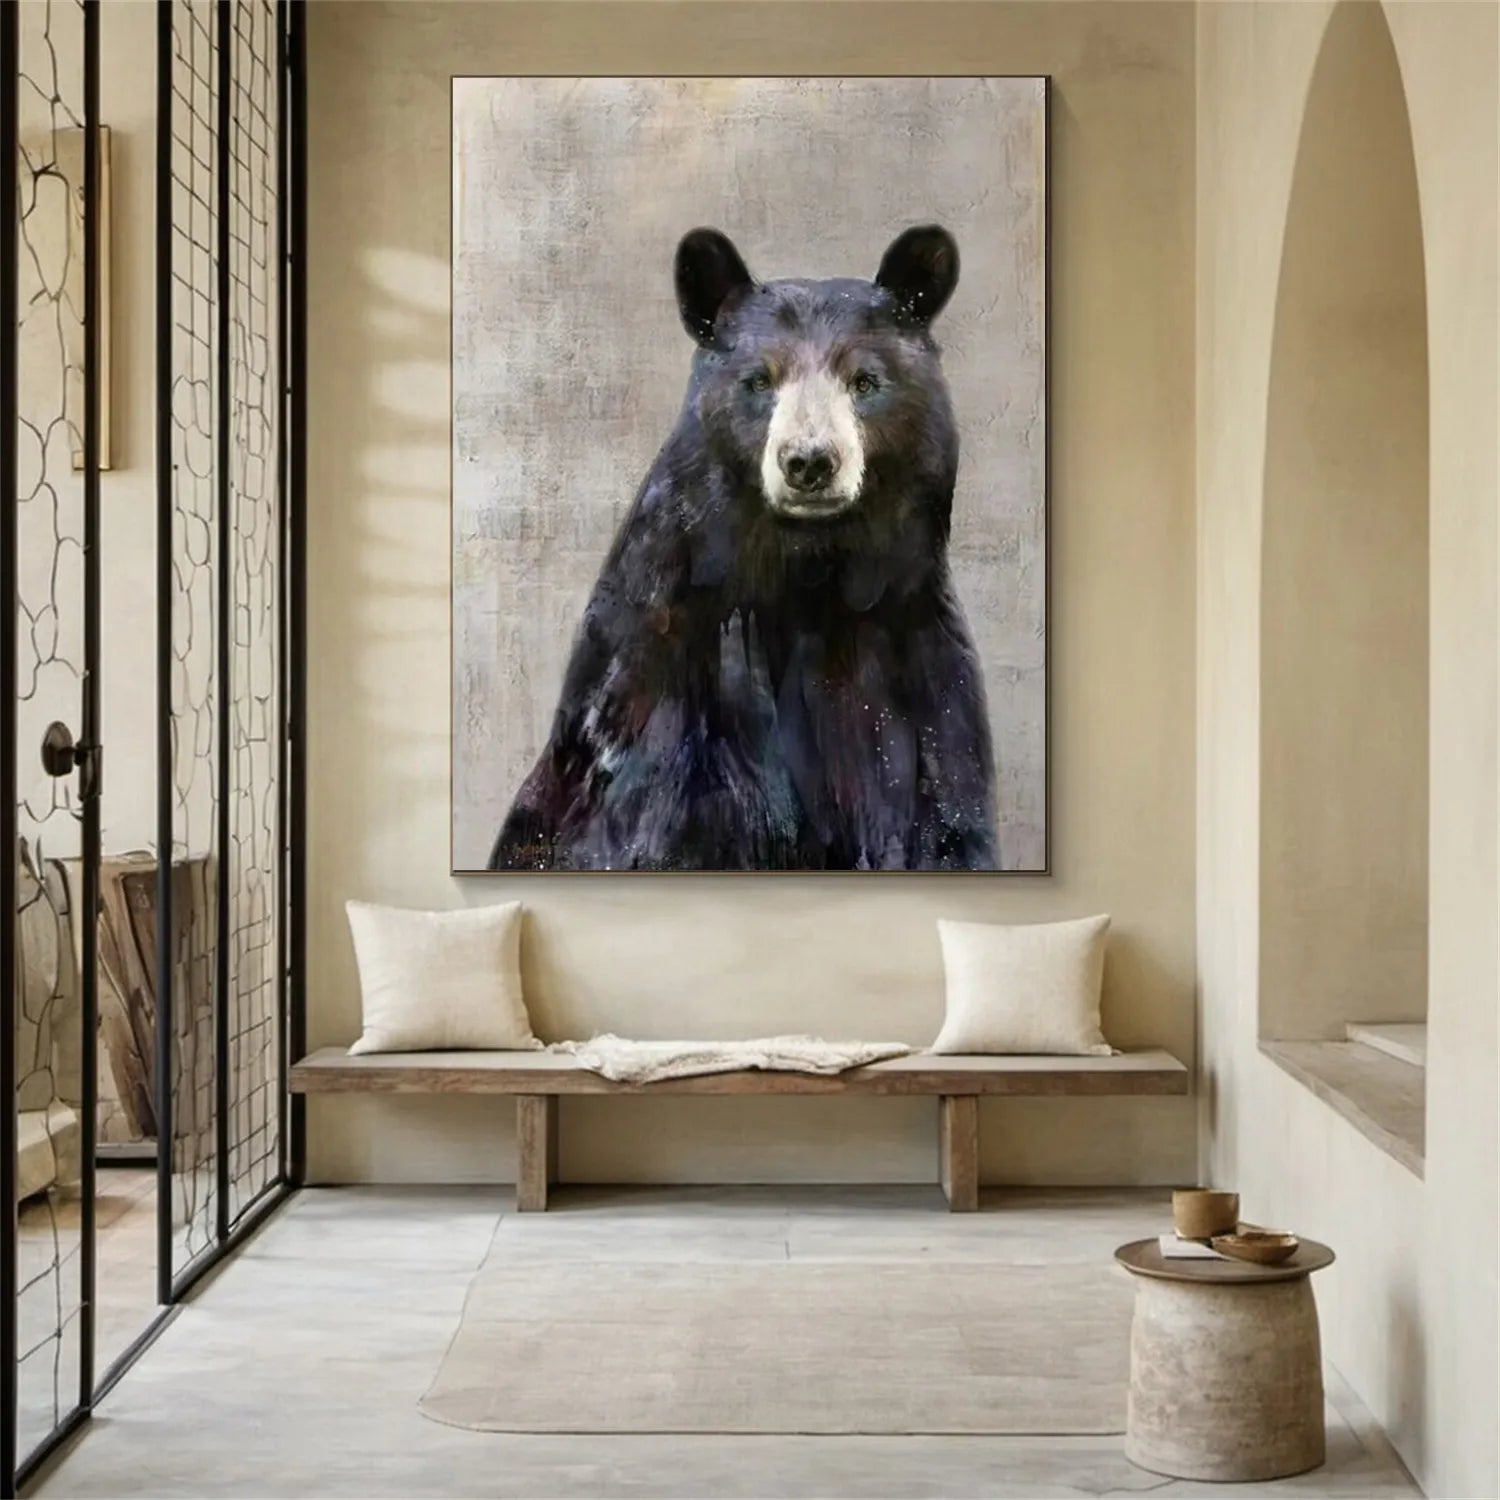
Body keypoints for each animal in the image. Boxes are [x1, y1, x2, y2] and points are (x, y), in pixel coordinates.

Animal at [489, 224, 998, 872]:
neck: (808, 576)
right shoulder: (657, 689)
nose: (809, 462)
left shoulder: (921, 677)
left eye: (864, 381)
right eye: (759, 380)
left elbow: (944, 819)